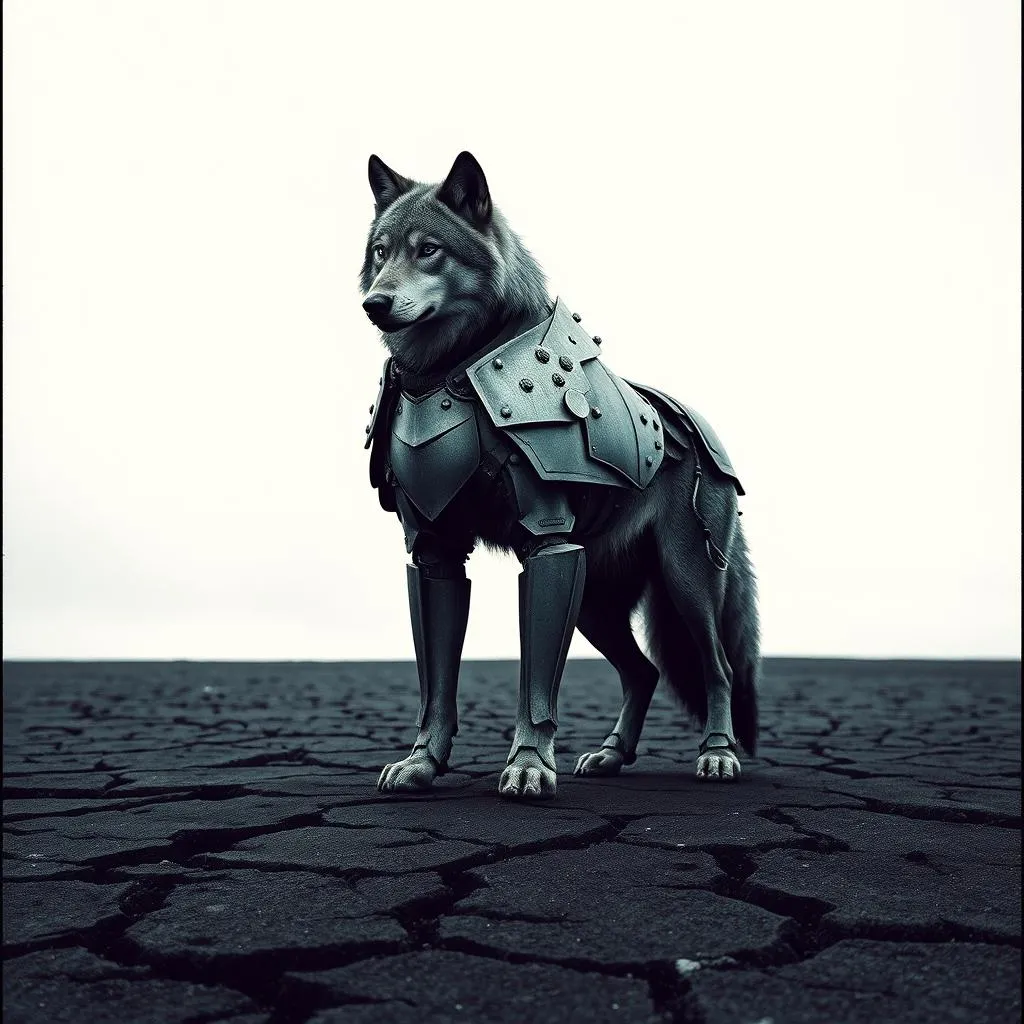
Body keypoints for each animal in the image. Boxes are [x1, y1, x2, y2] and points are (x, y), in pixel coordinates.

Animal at [360, 151, 759, 800]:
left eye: (429, 251)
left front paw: (528, 765)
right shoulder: (435, 549)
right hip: (596, 599)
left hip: (686, 584)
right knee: (644, 672)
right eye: (380, 251)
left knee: (717, 667)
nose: (374, 303)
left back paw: (718, 755)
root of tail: (702, 430)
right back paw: (612, 755)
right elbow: (436, 684)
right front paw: (422, 762)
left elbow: (536, 686)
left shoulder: (548, 547)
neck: (454, 372)